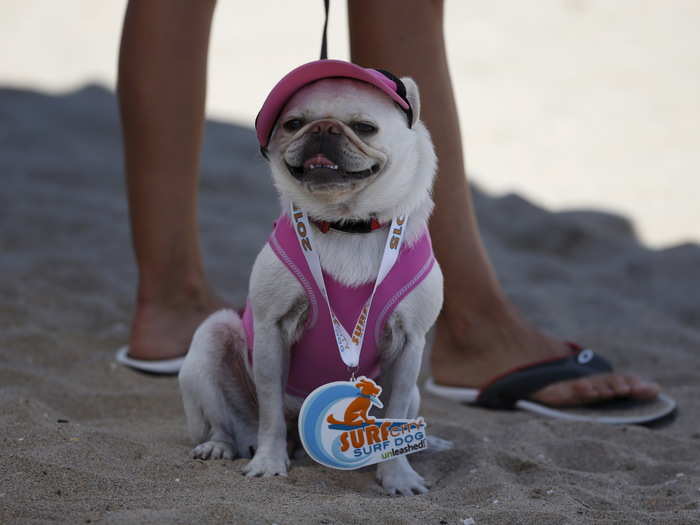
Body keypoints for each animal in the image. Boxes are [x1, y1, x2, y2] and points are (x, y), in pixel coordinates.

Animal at [180, 61, 442, 496]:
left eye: (365, 127)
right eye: (294, 124)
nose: (324, 128)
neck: (347, 225)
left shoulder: (410, 344)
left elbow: (398, 411)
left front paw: (397, 477)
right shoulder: (271, 330)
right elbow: (269, 410)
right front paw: (268, 463)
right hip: (210, 341)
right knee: (228, 422)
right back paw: (220, 446)